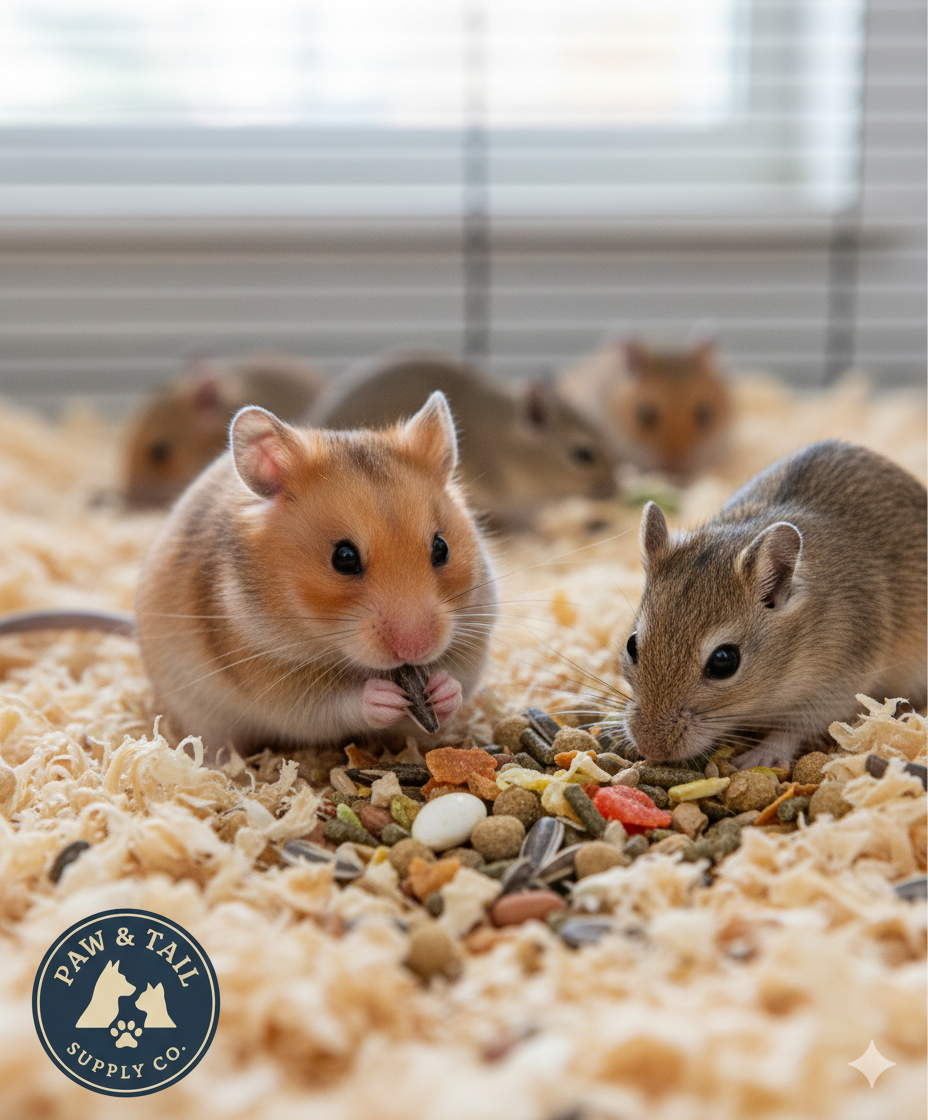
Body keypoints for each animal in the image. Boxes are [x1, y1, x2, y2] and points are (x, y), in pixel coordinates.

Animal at [134, 392, 499, 758]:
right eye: (344, 558)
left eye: (441, 547)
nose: (416, 649)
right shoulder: (275, 678)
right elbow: (339, 703)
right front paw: (384, 697)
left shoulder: (474, 638)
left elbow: (458, 680)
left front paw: (442, 690)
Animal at [617, 441, 927, 770]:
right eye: (632, 644)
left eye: (724, 661)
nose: (651, 747)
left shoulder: (838, 686)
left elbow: (791, 729)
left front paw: (756, 759)